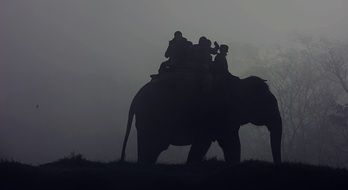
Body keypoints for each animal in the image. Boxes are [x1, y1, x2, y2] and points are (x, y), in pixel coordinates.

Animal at [121, 72, 282, 164]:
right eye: (267, 104)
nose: (277, 165)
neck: (239, 83)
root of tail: (136, 96)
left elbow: (229, 144)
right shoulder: (216, 115)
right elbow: (218, 143)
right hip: (150, 118)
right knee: (151, 145)